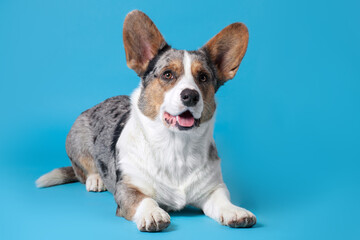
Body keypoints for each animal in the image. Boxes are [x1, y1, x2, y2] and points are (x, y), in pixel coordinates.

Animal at [35, 9, 256, 232]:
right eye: (168, 74)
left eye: (203, 77)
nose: (191, 96)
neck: (176, 146)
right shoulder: (128, 188)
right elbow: (145, 199)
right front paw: (153, 213)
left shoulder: (213, 188)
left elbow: (222, 200)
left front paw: (235, 211)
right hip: (77, 135)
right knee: (83, 170)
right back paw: (96, 179)